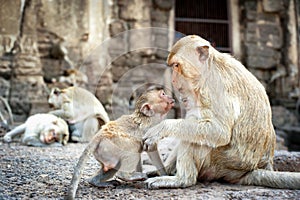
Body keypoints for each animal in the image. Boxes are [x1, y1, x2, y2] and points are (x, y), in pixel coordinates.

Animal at [143, 35, 300, 190]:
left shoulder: (216, 86)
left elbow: (220, 131)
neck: (209, 68)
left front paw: (160, 128)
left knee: (198, 138)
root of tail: (254, 168)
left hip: (225, 163)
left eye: (176, 65)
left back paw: (181, 180)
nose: (174, 80)